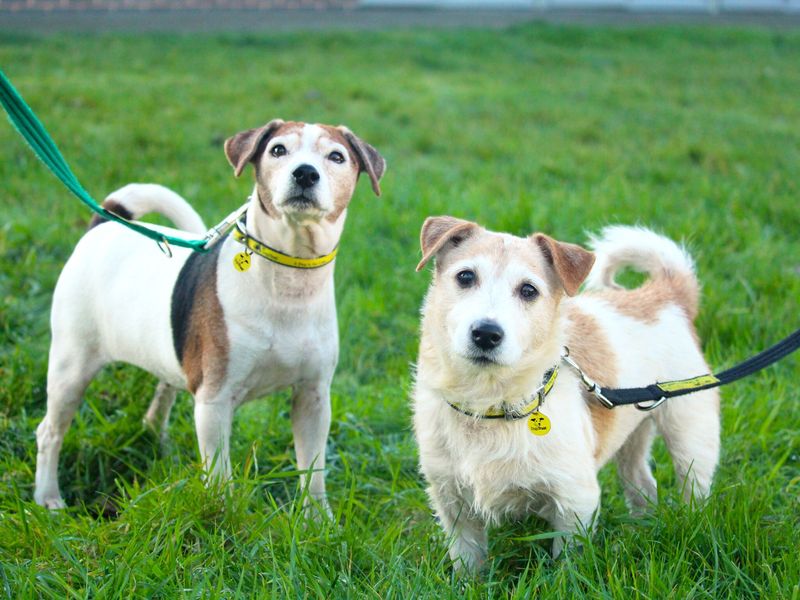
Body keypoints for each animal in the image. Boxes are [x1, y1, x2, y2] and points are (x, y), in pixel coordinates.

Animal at [36, 120, 386, 510]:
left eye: (336, 157)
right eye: (278, 150)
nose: (305, 173)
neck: (288, 278)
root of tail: (103, 224)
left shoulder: (313, 396)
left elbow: (313, 473)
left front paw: (318, 518)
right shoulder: (214, 401)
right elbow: (219, 477)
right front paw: (223, 516)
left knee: (161, 396)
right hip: (71, 366)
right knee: (49, 431)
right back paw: (47, 497)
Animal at [412, 218, 720, 568]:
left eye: (528, 290)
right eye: (465, 276)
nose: (486, 333)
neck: (491, 405)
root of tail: (664, 294)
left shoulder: (576, 500)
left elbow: (567, 561)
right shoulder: (452, 501)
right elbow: (468, 560)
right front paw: (470, 580)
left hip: (691, 434)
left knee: (693, 485)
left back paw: (690, 525)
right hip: (631, 434)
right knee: (643, 483)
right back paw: (639, 531)